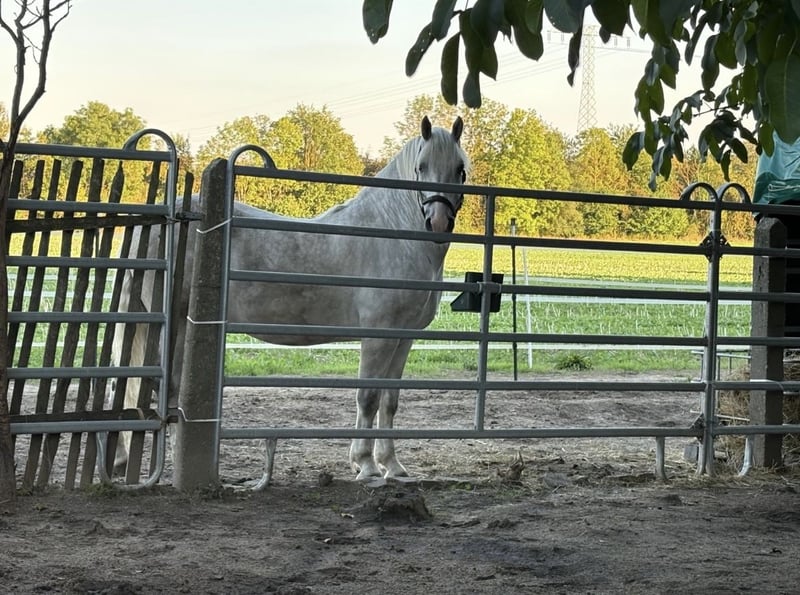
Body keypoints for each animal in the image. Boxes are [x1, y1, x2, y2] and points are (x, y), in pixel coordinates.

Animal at [110, 116, 469, 481]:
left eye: (460, 169)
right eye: (421, 167)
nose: (438, 222)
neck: (389, 234)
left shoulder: (403, 337)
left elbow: (389, 400)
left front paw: (391, 465)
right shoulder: (377, 336)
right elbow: (367, 397)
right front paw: (366, 465)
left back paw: (121, 461)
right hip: (170, 325)